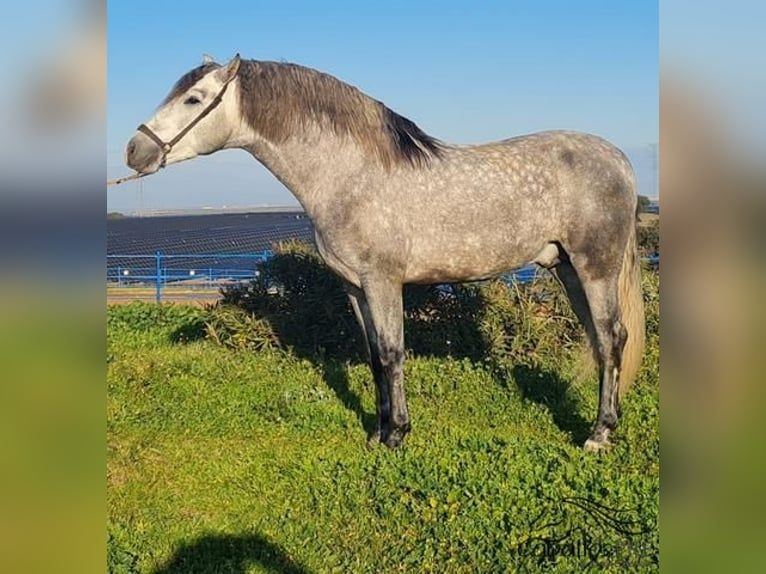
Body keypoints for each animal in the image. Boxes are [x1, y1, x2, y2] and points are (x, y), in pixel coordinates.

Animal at [127, 54, 648, 452]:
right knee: (600, 341)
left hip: (596, 269)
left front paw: (397, 435)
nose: (134, 151)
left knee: (612, 339)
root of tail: (619, 158)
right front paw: (378, 433)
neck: (349, 176)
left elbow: (395, 353)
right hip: (568, 269)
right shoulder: (355, 288)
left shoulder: (383, 282)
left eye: (194, 99)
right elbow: (376, 357)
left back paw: (598, 434)